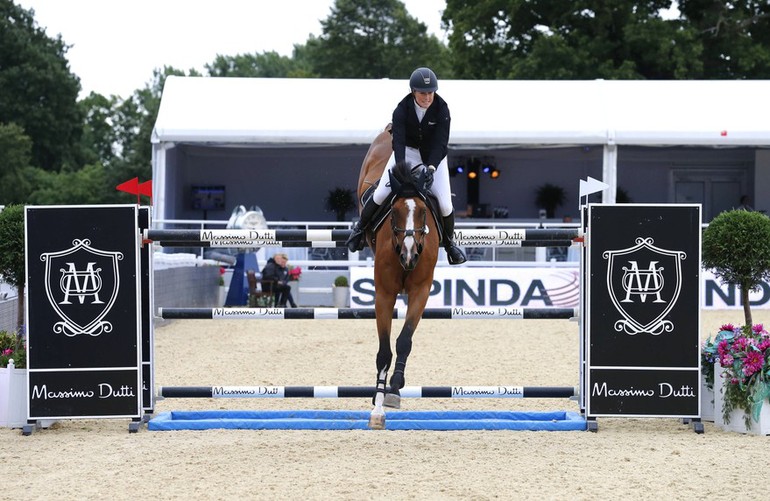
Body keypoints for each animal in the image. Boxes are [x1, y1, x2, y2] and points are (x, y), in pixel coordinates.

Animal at [354, 125, 438, 430]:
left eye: (424, 211)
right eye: (396, 210)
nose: (410, 254)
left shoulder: (420, 292)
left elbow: (404, 341)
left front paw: (395, 387)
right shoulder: (384, 294)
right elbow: (383, 351)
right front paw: (378, 406)